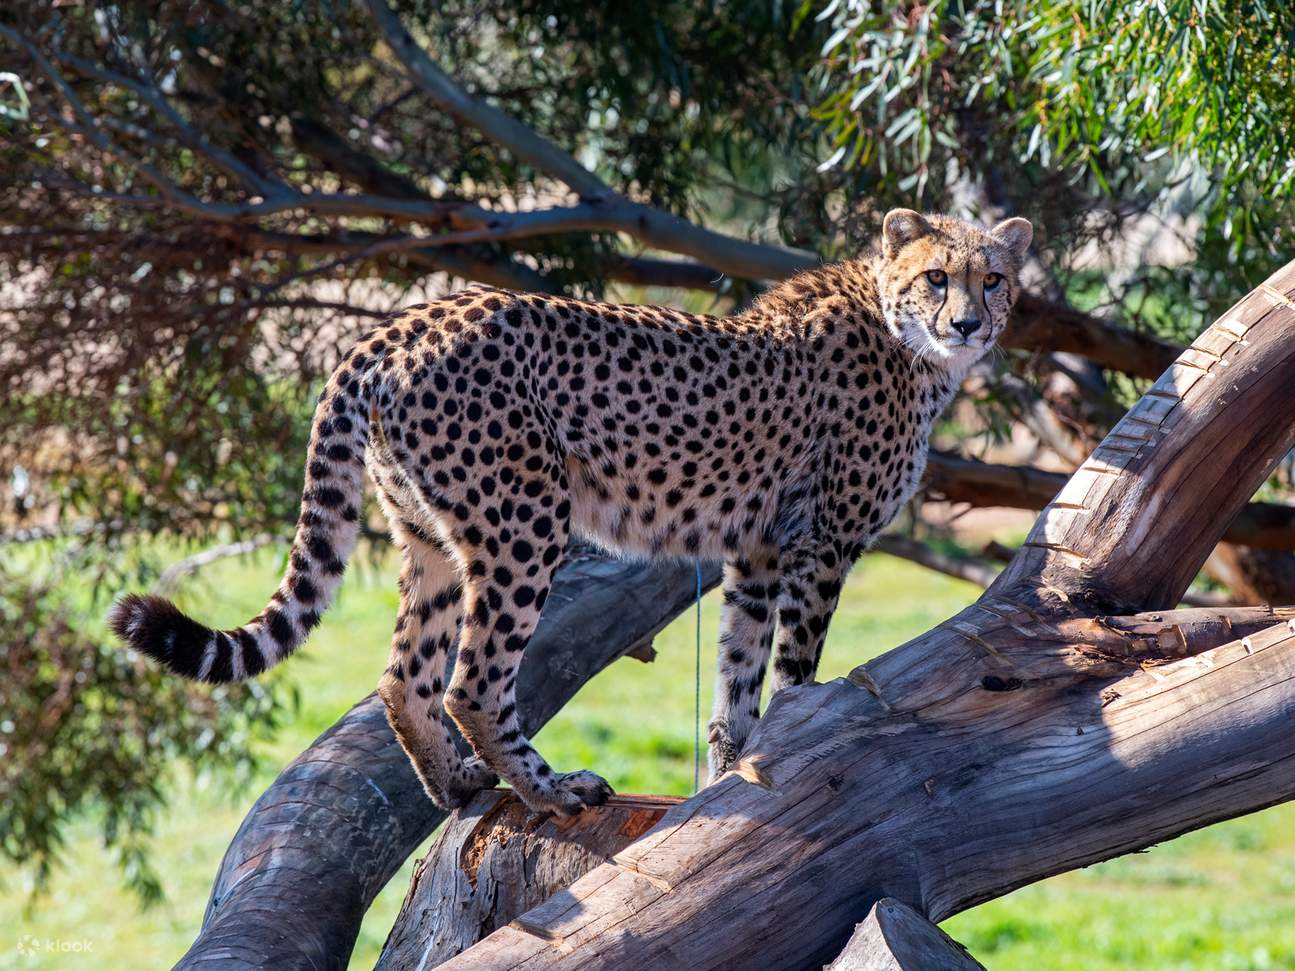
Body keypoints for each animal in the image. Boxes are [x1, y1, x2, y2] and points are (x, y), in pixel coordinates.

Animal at [110, 209, 1032, 817]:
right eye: (936, 277)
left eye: (992, 278)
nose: (967, 322)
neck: (902, 335)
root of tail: (396, 325)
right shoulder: (821, 547)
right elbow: (794, 676)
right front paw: (796, 758)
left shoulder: (758, 550)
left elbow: (735, 686)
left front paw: (722, 787)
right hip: (525, 524)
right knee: (473, 683)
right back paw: (553, 789)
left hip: (430, 537)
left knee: (405, 676)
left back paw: (459, 786)